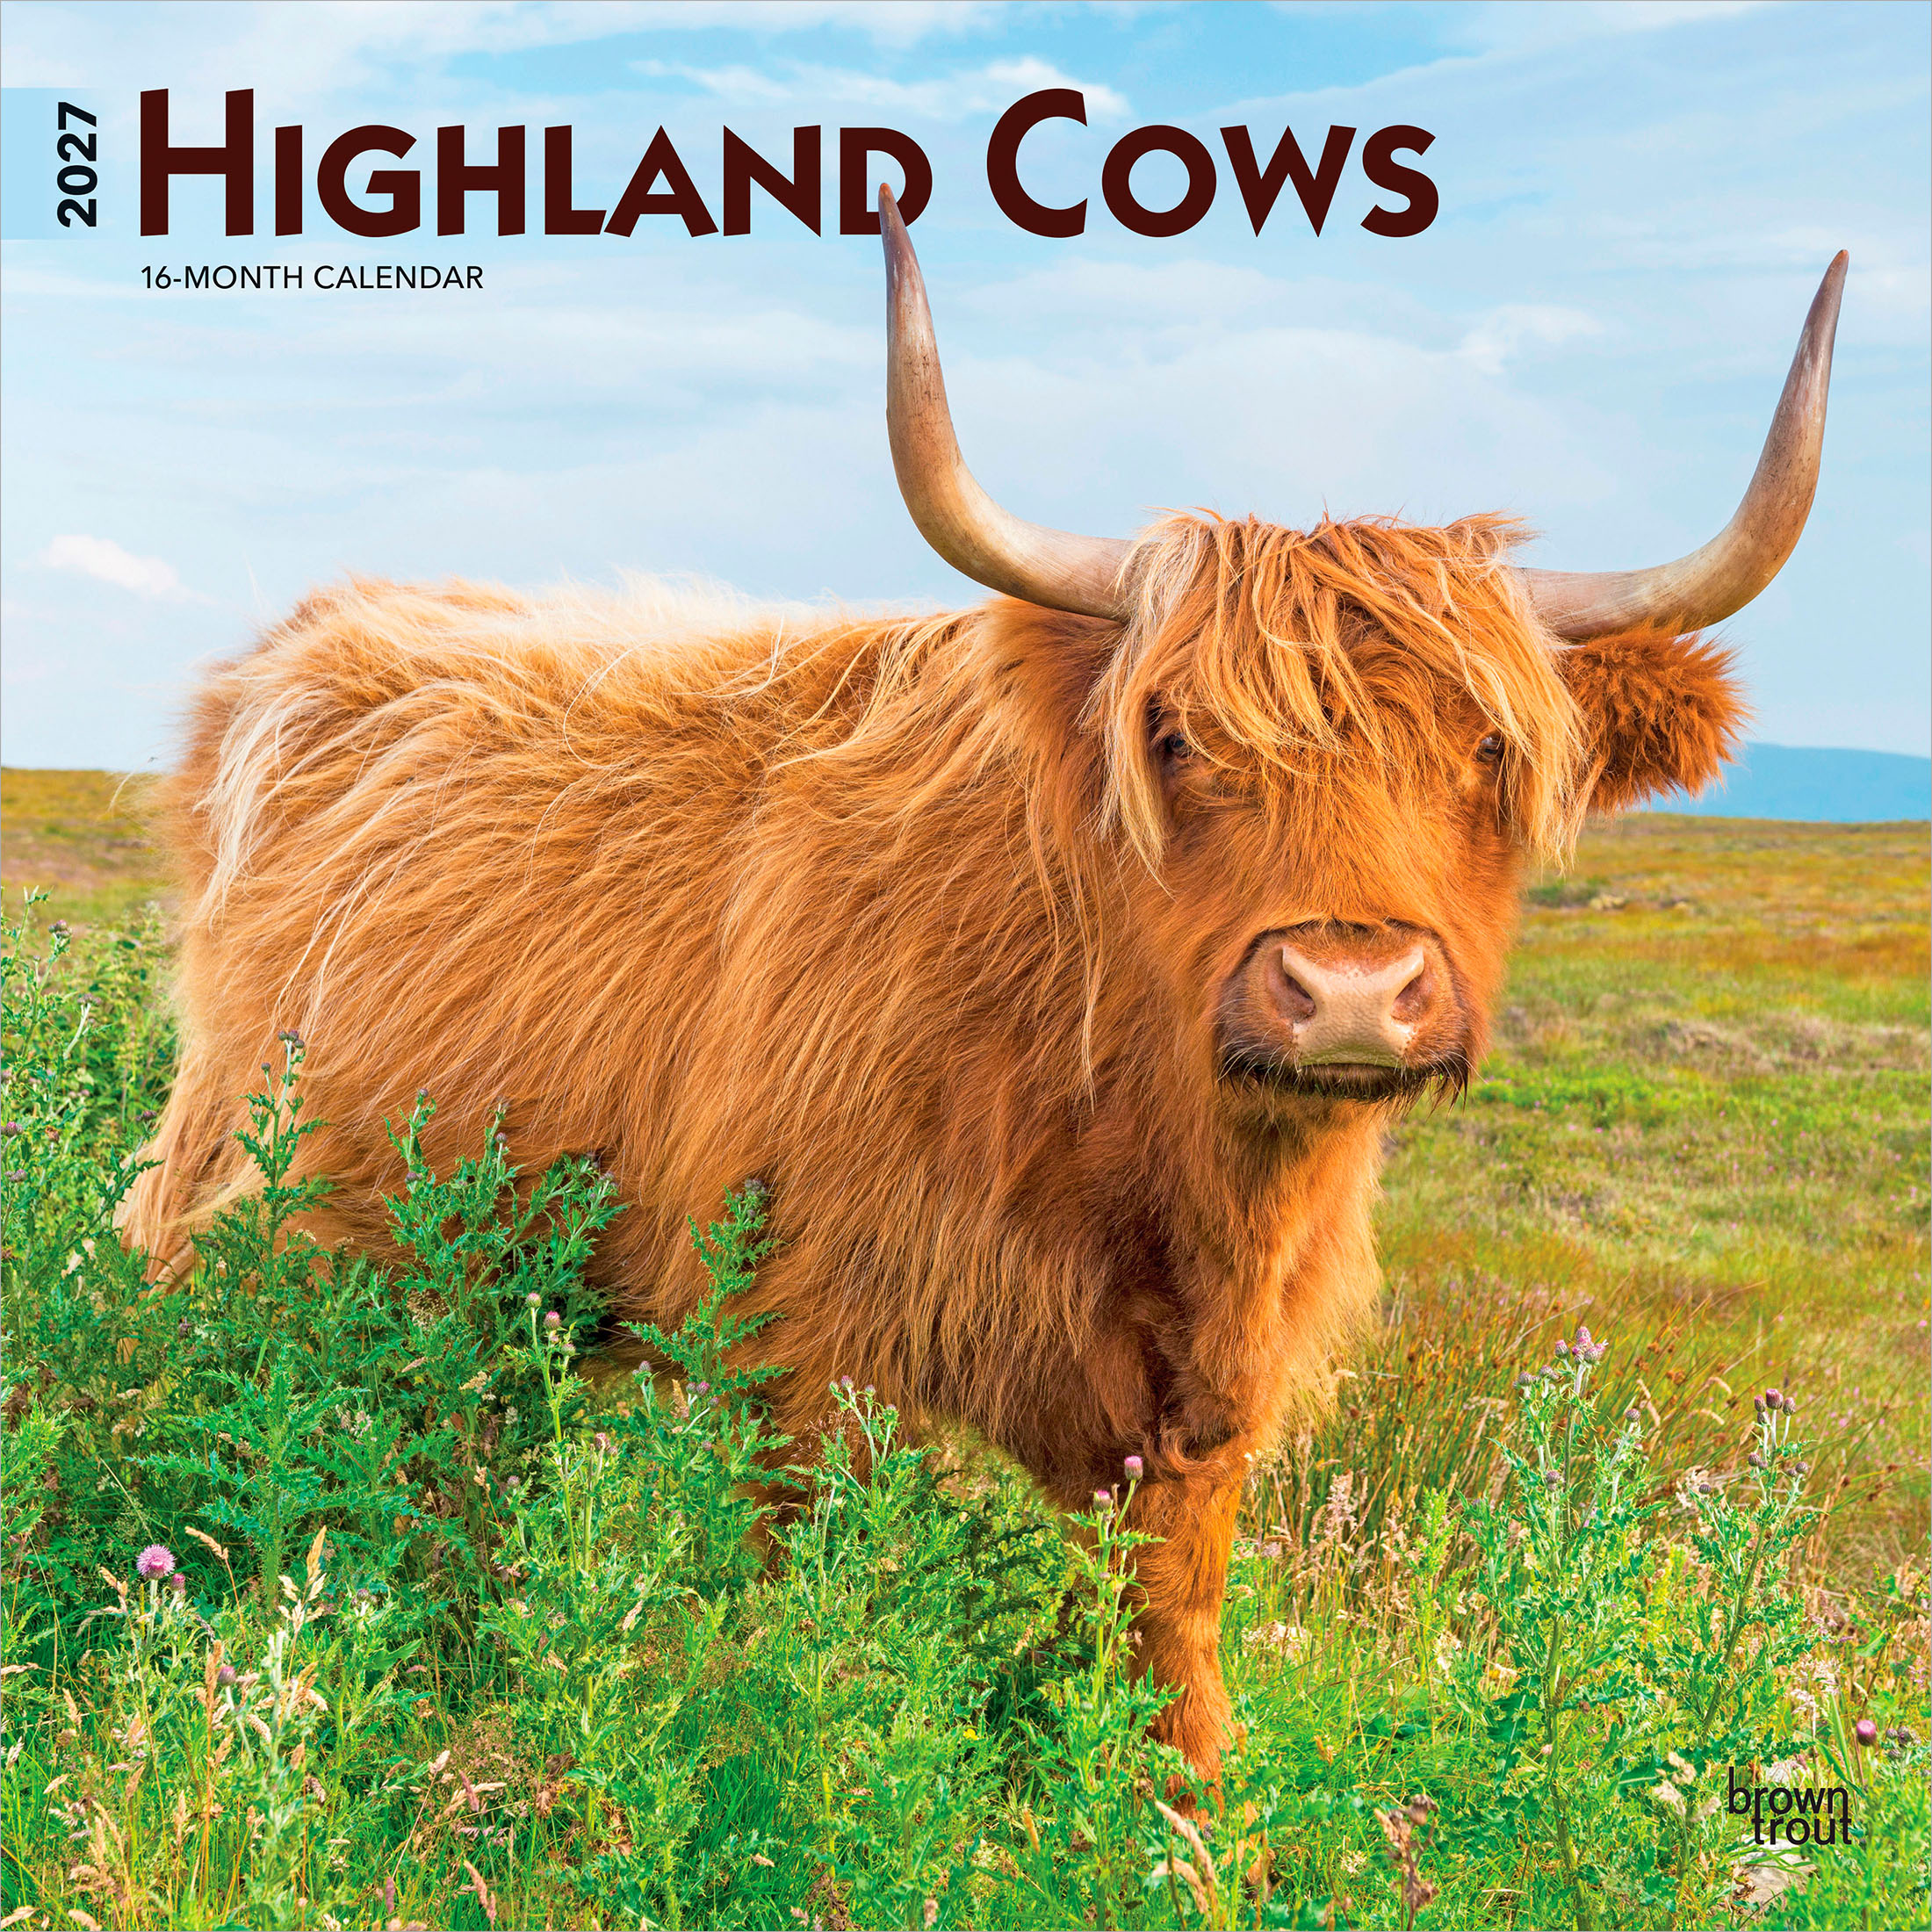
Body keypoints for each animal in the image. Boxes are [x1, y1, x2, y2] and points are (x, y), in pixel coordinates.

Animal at [124, 193, 1845, 1782]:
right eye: (1177, 738)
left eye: (1490, 746)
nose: (1350, 988)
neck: (1139, 1141)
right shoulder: (794, 1338)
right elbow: (802, 1619)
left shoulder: (1197, 1413)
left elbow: (1169, 1651)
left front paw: (1191, 1838)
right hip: (246, 1203)